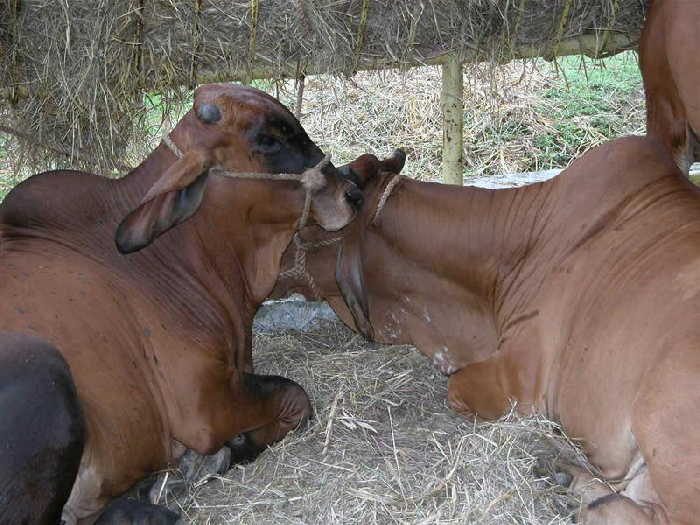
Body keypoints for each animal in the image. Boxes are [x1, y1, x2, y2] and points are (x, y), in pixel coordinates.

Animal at [0, 84, 360, 520]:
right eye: (267, 140)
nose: (352, 193)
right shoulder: (202, 405)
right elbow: (295, 397)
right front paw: (212, 457)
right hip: (45, 368)